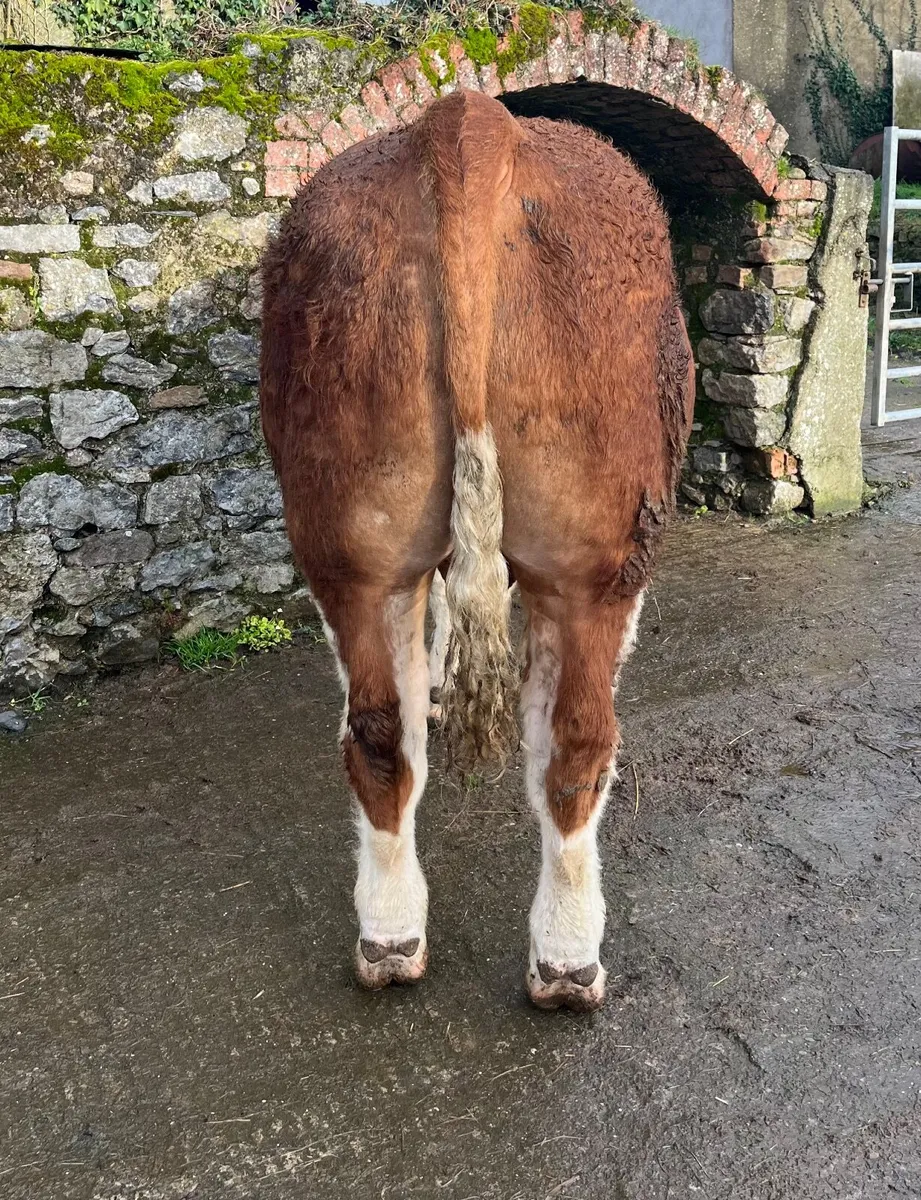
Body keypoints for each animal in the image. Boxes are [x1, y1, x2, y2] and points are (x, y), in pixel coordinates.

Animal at [260, 90, 694, 1012]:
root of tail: (468, 126)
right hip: (602, 560)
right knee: (577, 743)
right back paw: (566, 959)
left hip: (350, 539)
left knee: (379, 735)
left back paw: (391, 936)